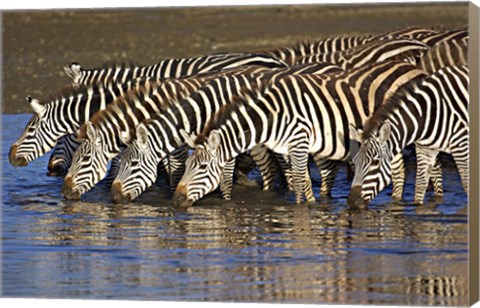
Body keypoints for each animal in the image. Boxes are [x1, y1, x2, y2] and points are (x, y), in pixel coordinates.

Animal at [109, 61, 344, 203]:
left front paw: (226, 204)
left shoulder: (227, 139)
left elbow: (224, 175)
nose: (113, 197)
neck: (204, 110)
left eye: (133, 164)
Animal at [172, 59, 428, 207]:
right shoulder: (289, 148)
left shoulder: (299, 140)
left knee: (405, 169)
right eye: (187, 166)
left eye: (202, 167)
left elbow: (296, 179)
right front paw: (311, 204)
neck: (271, 117)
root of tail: (412, 66)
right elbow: (303, 180)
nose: (176, 200)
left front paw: (298, 211)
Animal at [346, 66, 466, 208]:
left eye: (375, 162)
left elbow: (466, 184)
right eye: (355, 161)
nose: (351, 202)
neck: (424, 116)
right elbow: (420, 186)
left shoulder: (461, 147)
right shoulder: (425, 150)